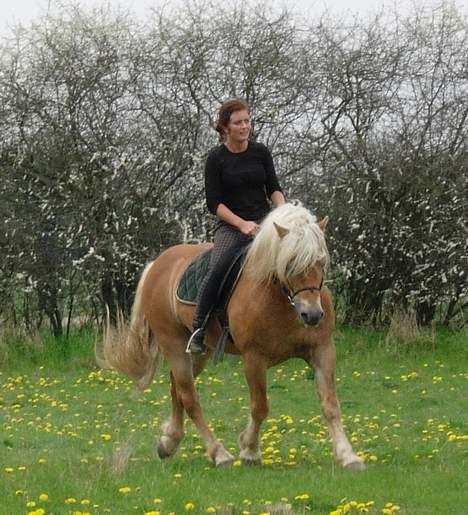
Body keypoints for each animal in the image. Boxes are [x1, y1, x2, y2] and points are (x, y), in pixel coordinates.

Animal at [101, 203, 366, 472]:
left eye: (321, 262)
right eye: (291, 263)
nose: (312, 315)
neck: (282, 300)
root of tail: (158, 263)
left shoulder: (322, 349)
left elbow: (330, 405)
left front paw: (348, 455)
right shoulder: (254, 357)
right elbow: (260, 407)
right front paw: (249, 450)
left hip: (198, 352)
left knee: (177, 388)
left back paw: (169, 442)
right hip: (172, 343)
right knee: (189, 396)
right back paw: (219, 453)